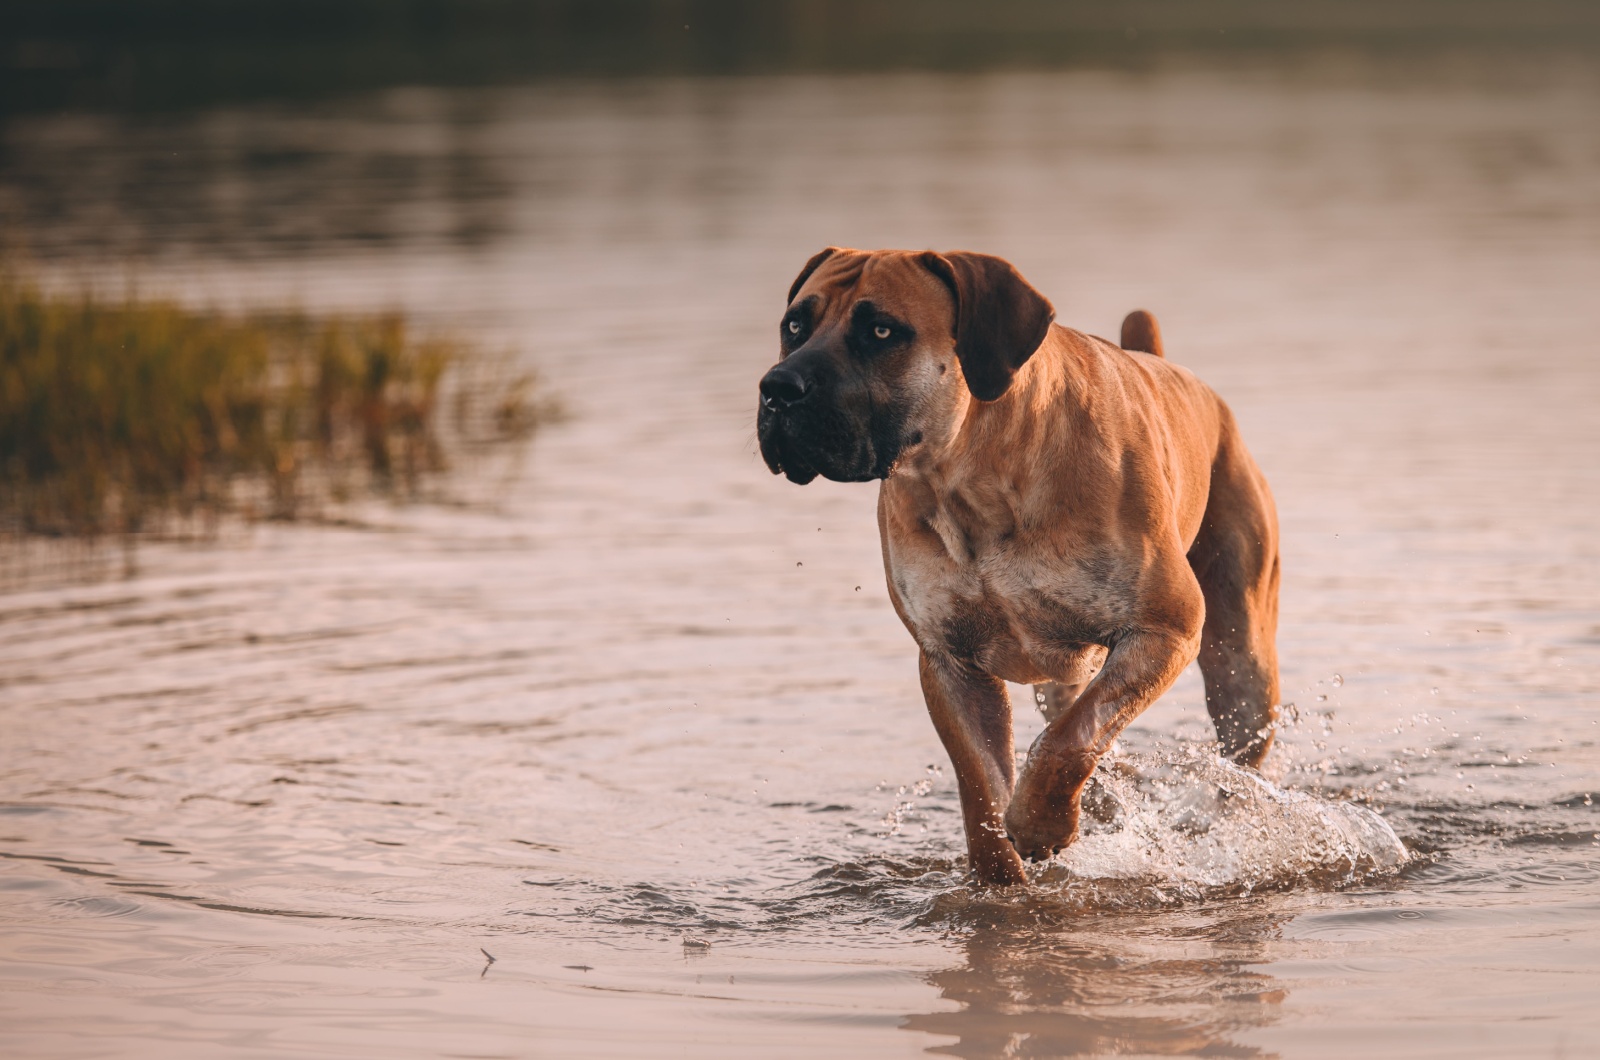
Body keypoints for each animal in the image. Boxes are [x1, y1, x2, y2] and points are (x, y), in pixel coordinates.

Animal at [755, 251, 1280, 890]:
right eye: (795, 326)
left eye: (881, 331)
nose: (778, 389)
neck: (970, 471)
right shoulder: (950, 661)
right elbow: (982, 784)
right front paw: (1000, 877)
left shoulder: (1166, 628)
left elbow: (1070, 740)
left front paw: (1039, 823)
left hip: (1241, 664)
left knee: (1233, 761)